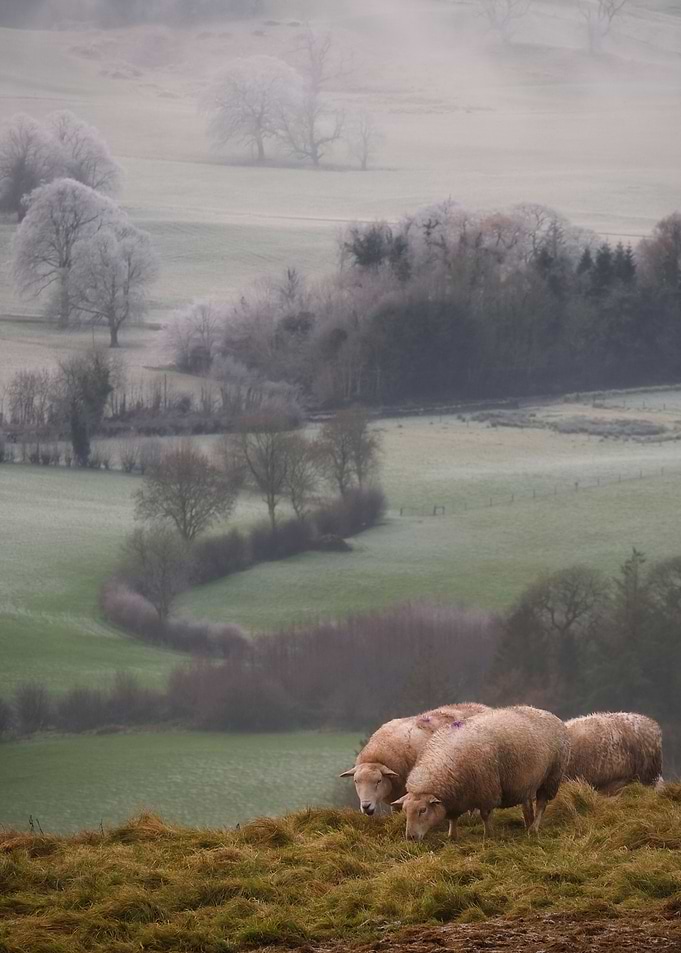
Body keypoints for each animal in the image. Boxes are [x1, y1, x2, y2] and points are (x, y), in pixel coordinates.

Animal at [392, 705, 569, 840]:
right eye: (405, 810)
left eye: (423, 810)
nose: (410, 837)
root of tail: (551, 715)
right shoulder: (455, 796)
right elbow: (452, 818)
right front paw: (452, 836)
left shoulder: (486, 791)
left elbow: (485, 815)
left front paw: (488, 835)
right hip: (526, 780)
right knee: (527, 803)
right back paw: (528, 823)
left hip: (552, 776)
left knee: (541, 804)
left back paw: (534, 828)